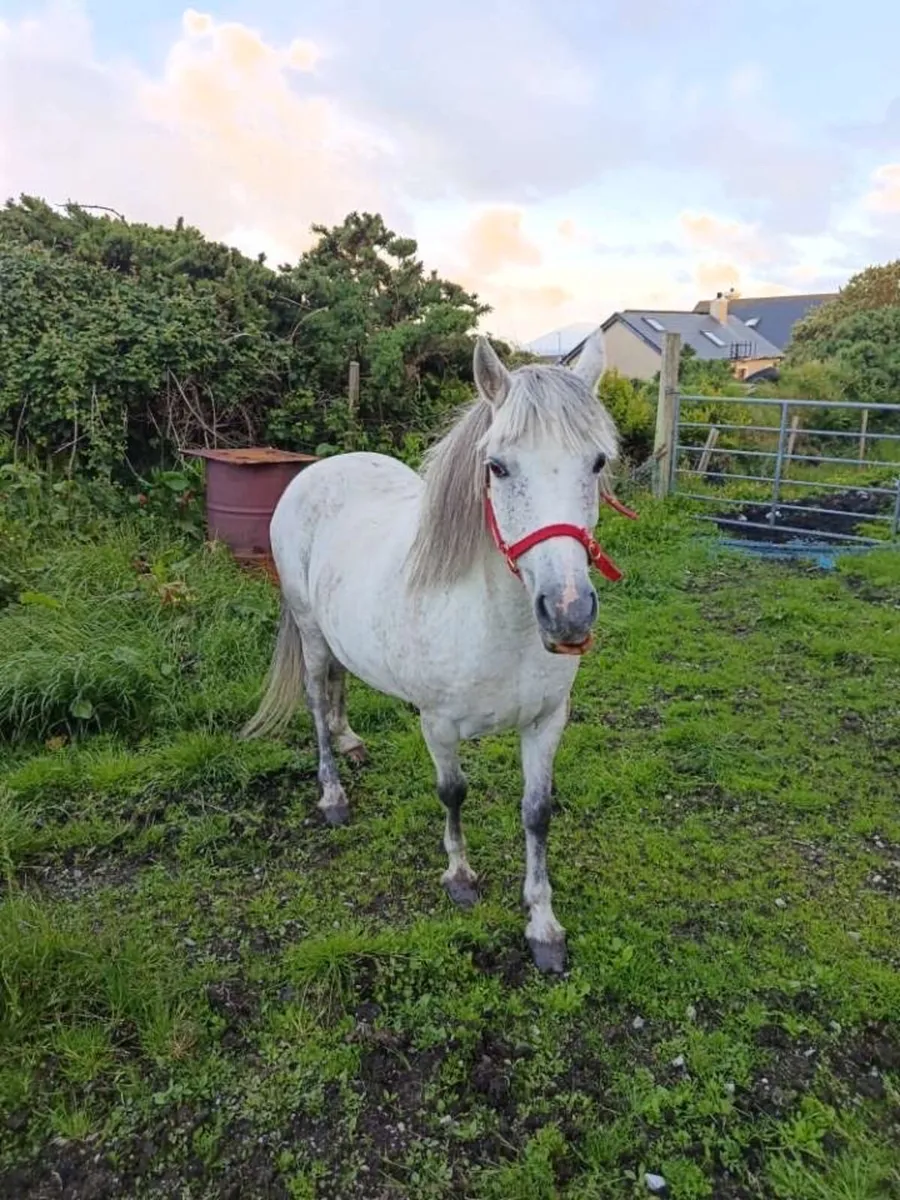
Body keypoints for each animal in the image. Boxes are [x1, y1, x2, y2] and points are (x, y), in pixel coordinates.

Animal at [241, 330, 634, 973]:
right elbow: (454, 793)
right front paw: (460, 877)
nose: (569, 613)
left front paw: (543, 926)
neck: (498, 627)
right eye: (497, 467)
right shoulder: (439, 725)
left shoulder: (548, 723)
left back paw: (350, 741)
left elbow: (537, 812)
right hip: (311, 632)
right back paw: (332, 793)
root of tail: (321, 469)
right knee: (317, 698)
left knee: (339, 685)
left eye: (597, 462)